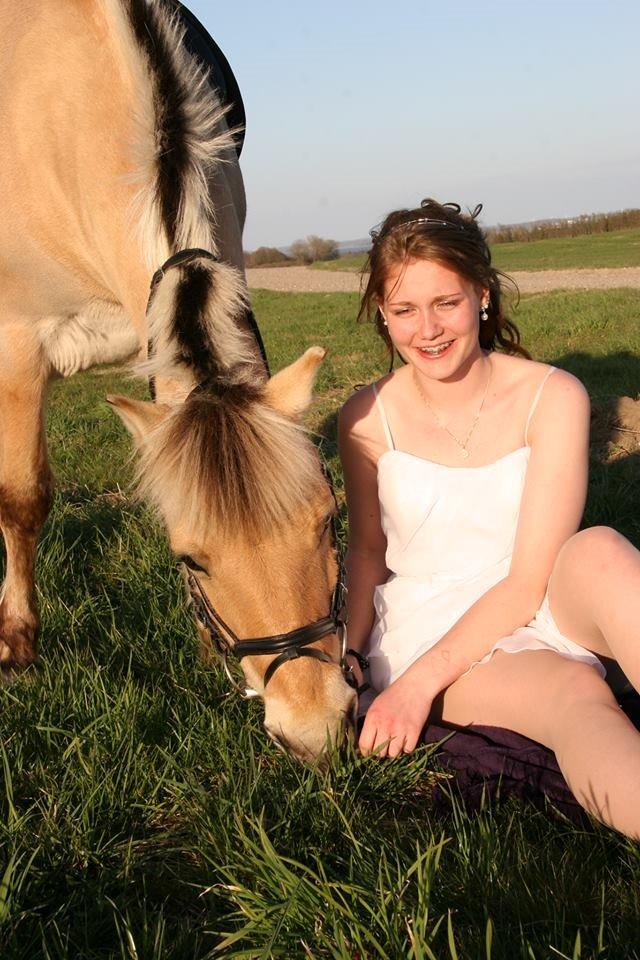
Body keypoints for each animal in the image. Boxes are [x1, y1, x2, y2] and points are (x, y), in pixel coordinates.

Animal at [0, 0, 356, 759]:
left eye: (329, 519)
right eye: (190, 560)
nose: (313, 730)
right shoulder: (16, 343)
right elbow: (22, 498)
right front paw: (17, 643)